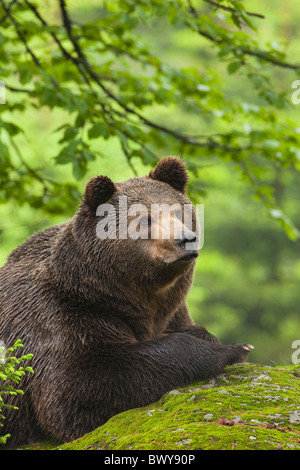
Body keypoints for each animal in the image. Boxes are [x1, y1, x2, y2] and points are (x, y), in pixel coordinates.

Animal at [0, 157, 253, 448]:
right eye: (145, 218)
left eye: (178, 211)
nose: (185, 239)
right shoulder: (58, 318)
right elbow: (80, 388)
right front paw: (233, 349)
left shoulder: (172, 309)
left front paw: (208, 337)